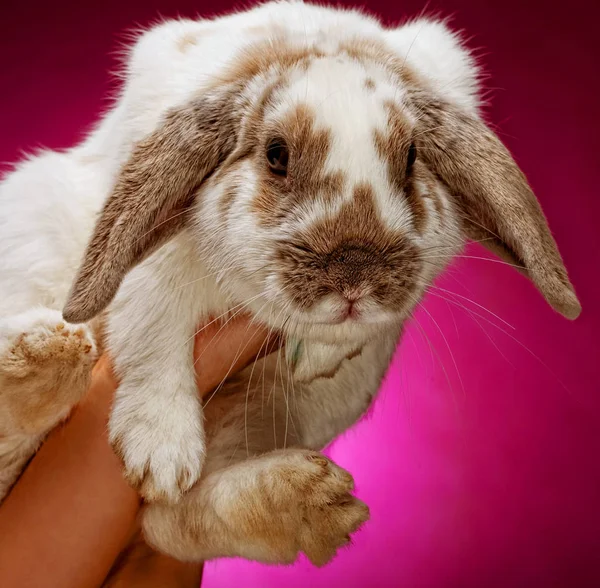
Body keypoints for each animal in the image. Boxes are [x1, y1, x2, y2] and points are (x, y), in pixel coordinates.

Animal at [1, 0, 580, 568]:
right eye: (276, 154)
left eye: (412, 155)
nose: (354, 275)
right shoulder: (156, 267)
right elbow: (152, 329)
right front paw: (160, 452)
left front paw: (322, 352)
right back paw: (41, 356)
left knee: (170, 521)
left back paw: (305, 504)